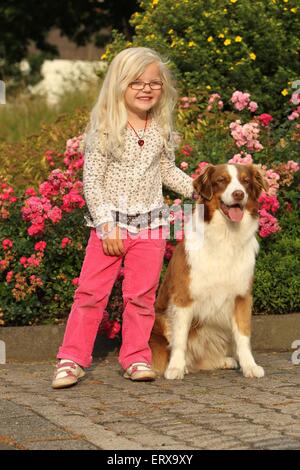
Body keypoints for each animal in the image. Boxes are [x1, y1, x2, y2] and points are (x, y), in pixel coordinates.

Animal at [150, 162, 268, 378]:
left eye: (246, 181)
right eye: (221, 180)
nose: (239, 194)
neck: (226, 235)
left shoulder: (242, 296)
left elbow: (243, 335)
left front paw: (250, 366)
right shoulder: (183, 297)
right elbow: (180, 338)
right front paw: (176, 368)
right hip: (160, 319)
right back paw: (184, 365)